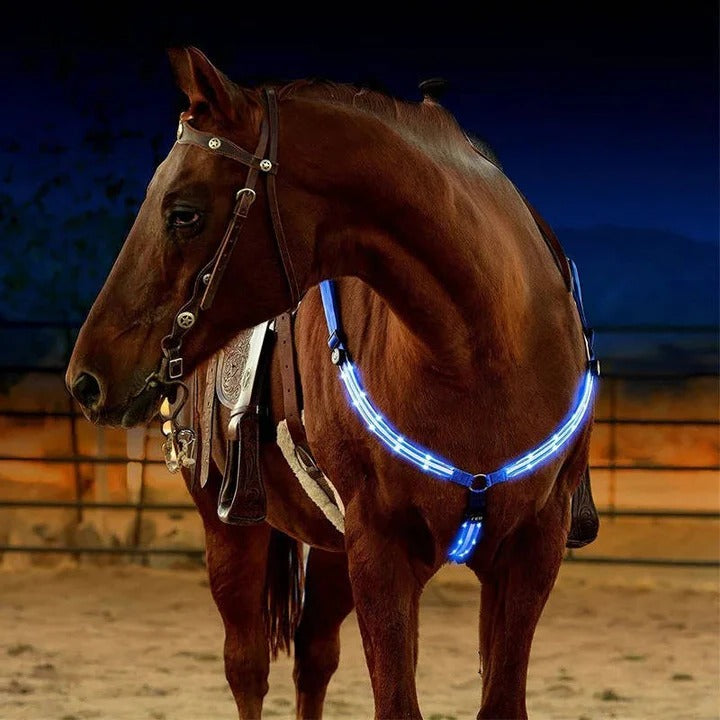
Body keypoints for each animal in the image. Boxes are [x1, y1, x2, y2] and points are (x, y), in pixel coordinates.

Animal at [66, 47, 596, 718]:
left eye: (183, 213)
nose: (86, 379)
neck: (481, 351)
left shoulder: (531, 549)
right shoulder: (380, 549)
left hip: (333, 552)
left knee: (314, 657)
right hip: (232, 529)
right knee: (247, 667)